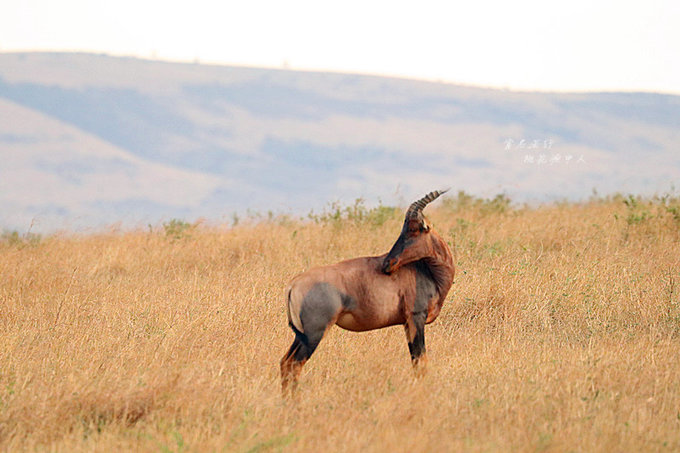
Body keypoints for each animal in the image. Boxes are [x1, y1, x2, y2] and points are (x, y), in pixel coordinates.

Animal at [278, 189, 454, 394]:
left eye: (412, 229)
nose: (387, 264)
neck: (425, 269)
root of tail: (293, 285)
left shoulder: (407, 323)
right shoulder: (416, 318)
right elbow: (421, 363)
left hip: (301, 335)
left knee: (285, 363)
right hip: (314, 333)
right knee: (295, 365)